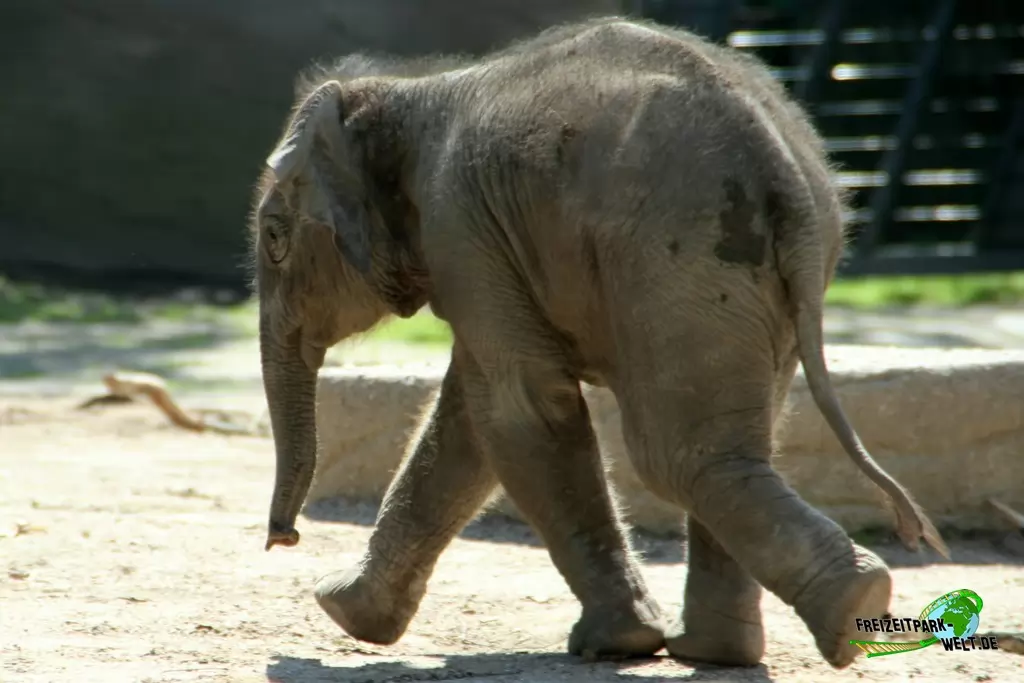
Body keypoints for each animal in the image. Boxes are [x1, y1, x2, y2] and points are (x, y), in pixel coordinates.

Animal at [249, 16, 949, 669]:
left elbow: (521, 410)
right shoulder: (484, 246)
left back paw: (850, 608)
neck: (412, 88)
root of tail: (786, 168)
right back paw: (728, 649)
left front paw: (615, 643)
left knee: (677, 454)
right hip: (749, 273)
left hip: (678, 253)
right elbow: (473, 416)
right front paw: (345, 607)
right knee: (731, 444)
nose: (283, 540)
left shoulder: (461, 227)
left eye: (275, 238)